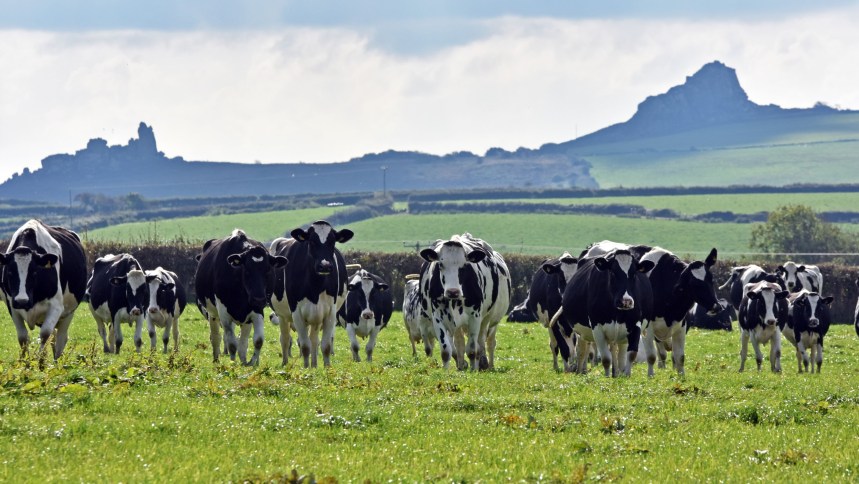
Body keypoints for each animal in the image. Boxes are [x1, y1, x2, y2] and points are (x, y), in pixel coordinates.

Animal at [0, 220, 87, 360]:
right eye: (9, 272)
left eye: (35, 272)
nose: (22, 301)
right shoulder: (11, 306)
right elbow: (23, 337)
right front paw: (25, 362)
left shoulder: (56, 307)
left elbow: (45, 334)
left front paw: (41, 362)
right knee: (54, 338)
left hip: (69, 312)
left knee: (61, 338)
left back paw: (57, 361)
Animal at [195, 229, 287, 366]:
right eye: (247, 270)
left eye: (268, 270)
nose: (258, 299)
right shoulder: (224, 314)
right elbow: (232, 343)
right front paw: (233, 363)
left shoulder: (256, 311)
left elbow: (257, 341)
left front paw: (250, 363)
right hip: (212, 313)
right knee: (216, 337)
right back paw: (216, 359)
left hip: (246, 319)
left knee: (243, 341)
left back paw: (243, 360)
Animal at [269, 220, 353, 368]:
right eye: (312, 241)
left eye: (333, 242)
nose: (325, 266)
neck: (316, 287)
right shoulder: (296, 312)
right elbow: (304, 345)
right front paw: (306, 367)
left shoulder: (330, 312)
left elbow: (325, 345)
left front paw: (326, 367)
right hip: (282, 315)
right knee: (285, 338)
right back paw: (285, 362)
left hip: (316, 317)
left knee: (314, 340)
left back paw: (314, 364)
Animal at [419, 233, 511, 371]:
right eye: (440, 265)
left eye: (464, 265)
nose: (453, 291)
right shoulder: (438, 318)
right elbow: (446, 351)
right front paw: (446, 371)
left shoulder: (475, 317)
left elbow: (472, 350)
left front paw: (473, 370)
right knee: (460, 343)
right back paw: (462, 365)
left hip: (488, 319)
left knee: (485, 342)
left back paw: (485, 364)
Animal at [557, 248, 654, 377]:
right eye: (612, 272)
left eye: (634, 274)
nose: (626, 301)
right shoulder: (597, 327)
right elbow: (606, 358)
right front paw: (607, 378)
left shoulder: (635, 324)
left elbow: (631, 354)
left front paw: (626, 376)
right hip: (581, 332)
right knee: (582, 350)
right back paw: (580, 371)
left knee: (620, 352)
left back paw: (619, 372)